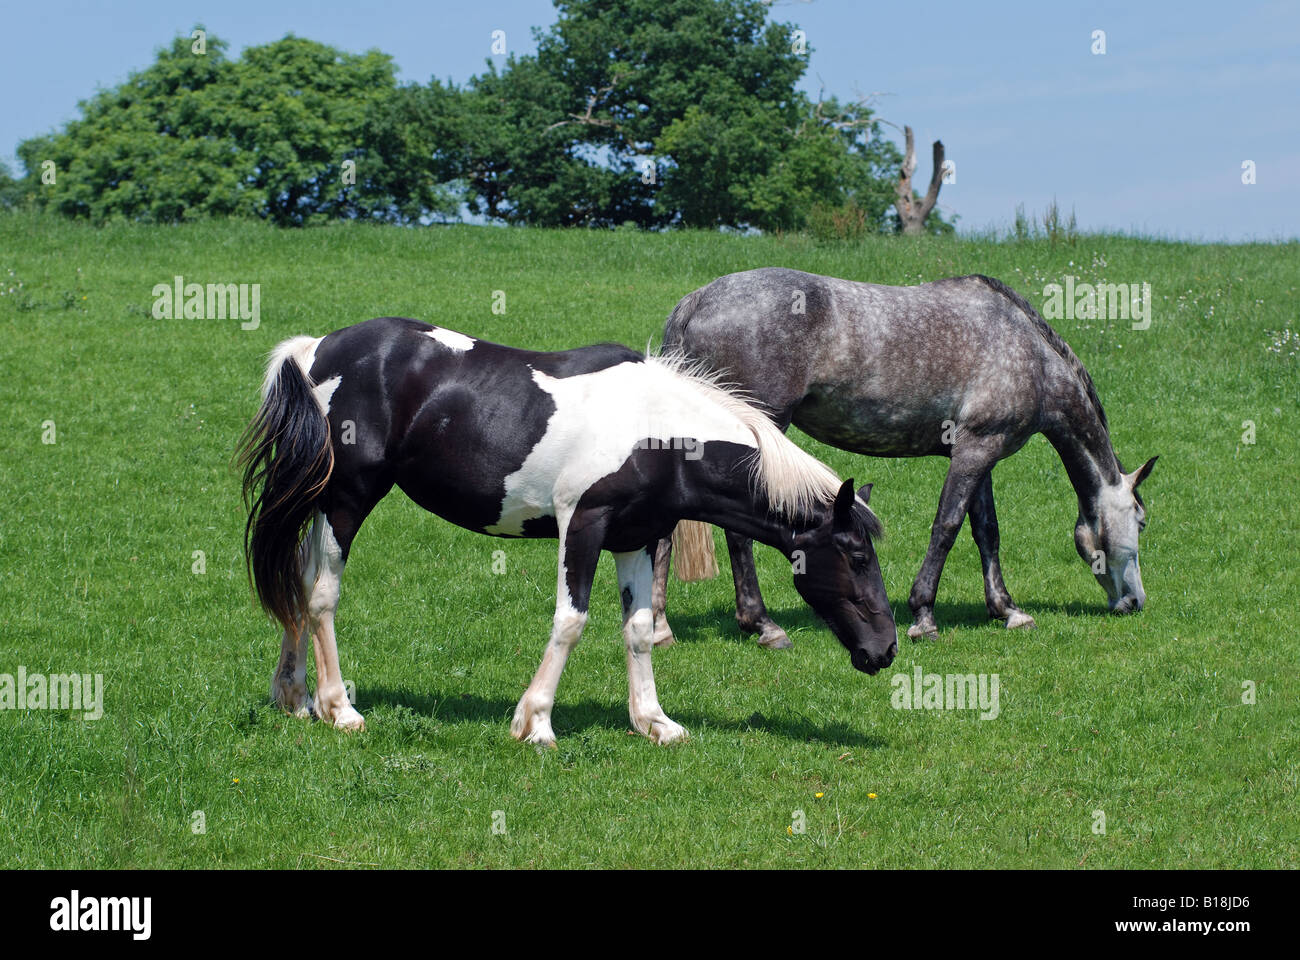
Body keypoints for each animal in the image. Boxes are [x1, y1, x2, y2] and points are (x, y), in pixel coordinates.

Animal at [236, 315, 897, 746]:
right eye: (856, 555)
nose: (885, 650)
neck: (661, 434)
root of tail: (316, 351)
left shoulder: (636, 538)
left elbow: (637, 629)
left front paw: (654, 722)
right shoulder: (582, 526)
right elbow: (571, 622)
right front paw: (535, 723)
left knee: (297, 583)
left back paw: (293, 698)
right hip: (347, 499)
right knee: (323, 595)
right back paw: (338, 709)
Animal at [652, 267, 1157, 648]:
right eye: (1142, 521)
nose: (1135, 602)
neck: (1029, 355)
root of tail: (696, 301)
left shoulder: (979, 453)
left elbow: (986, 532)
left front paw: (1007, 609)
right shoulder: (975, 450)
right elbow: (947, 527)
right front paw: (923, 616)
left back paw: (659, 628)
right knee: (737, 533)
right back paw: (763, 625)